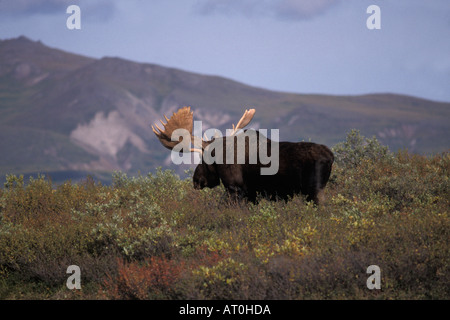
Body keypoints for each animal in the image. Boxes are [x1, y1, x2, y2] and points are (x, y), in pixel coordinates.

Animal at [153, 106, 332, 204]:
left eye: (203, 159)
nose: (196, 180)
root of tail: (331, 156)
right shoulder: (252, 194)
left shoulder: (235, 189)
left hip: (314, 190)